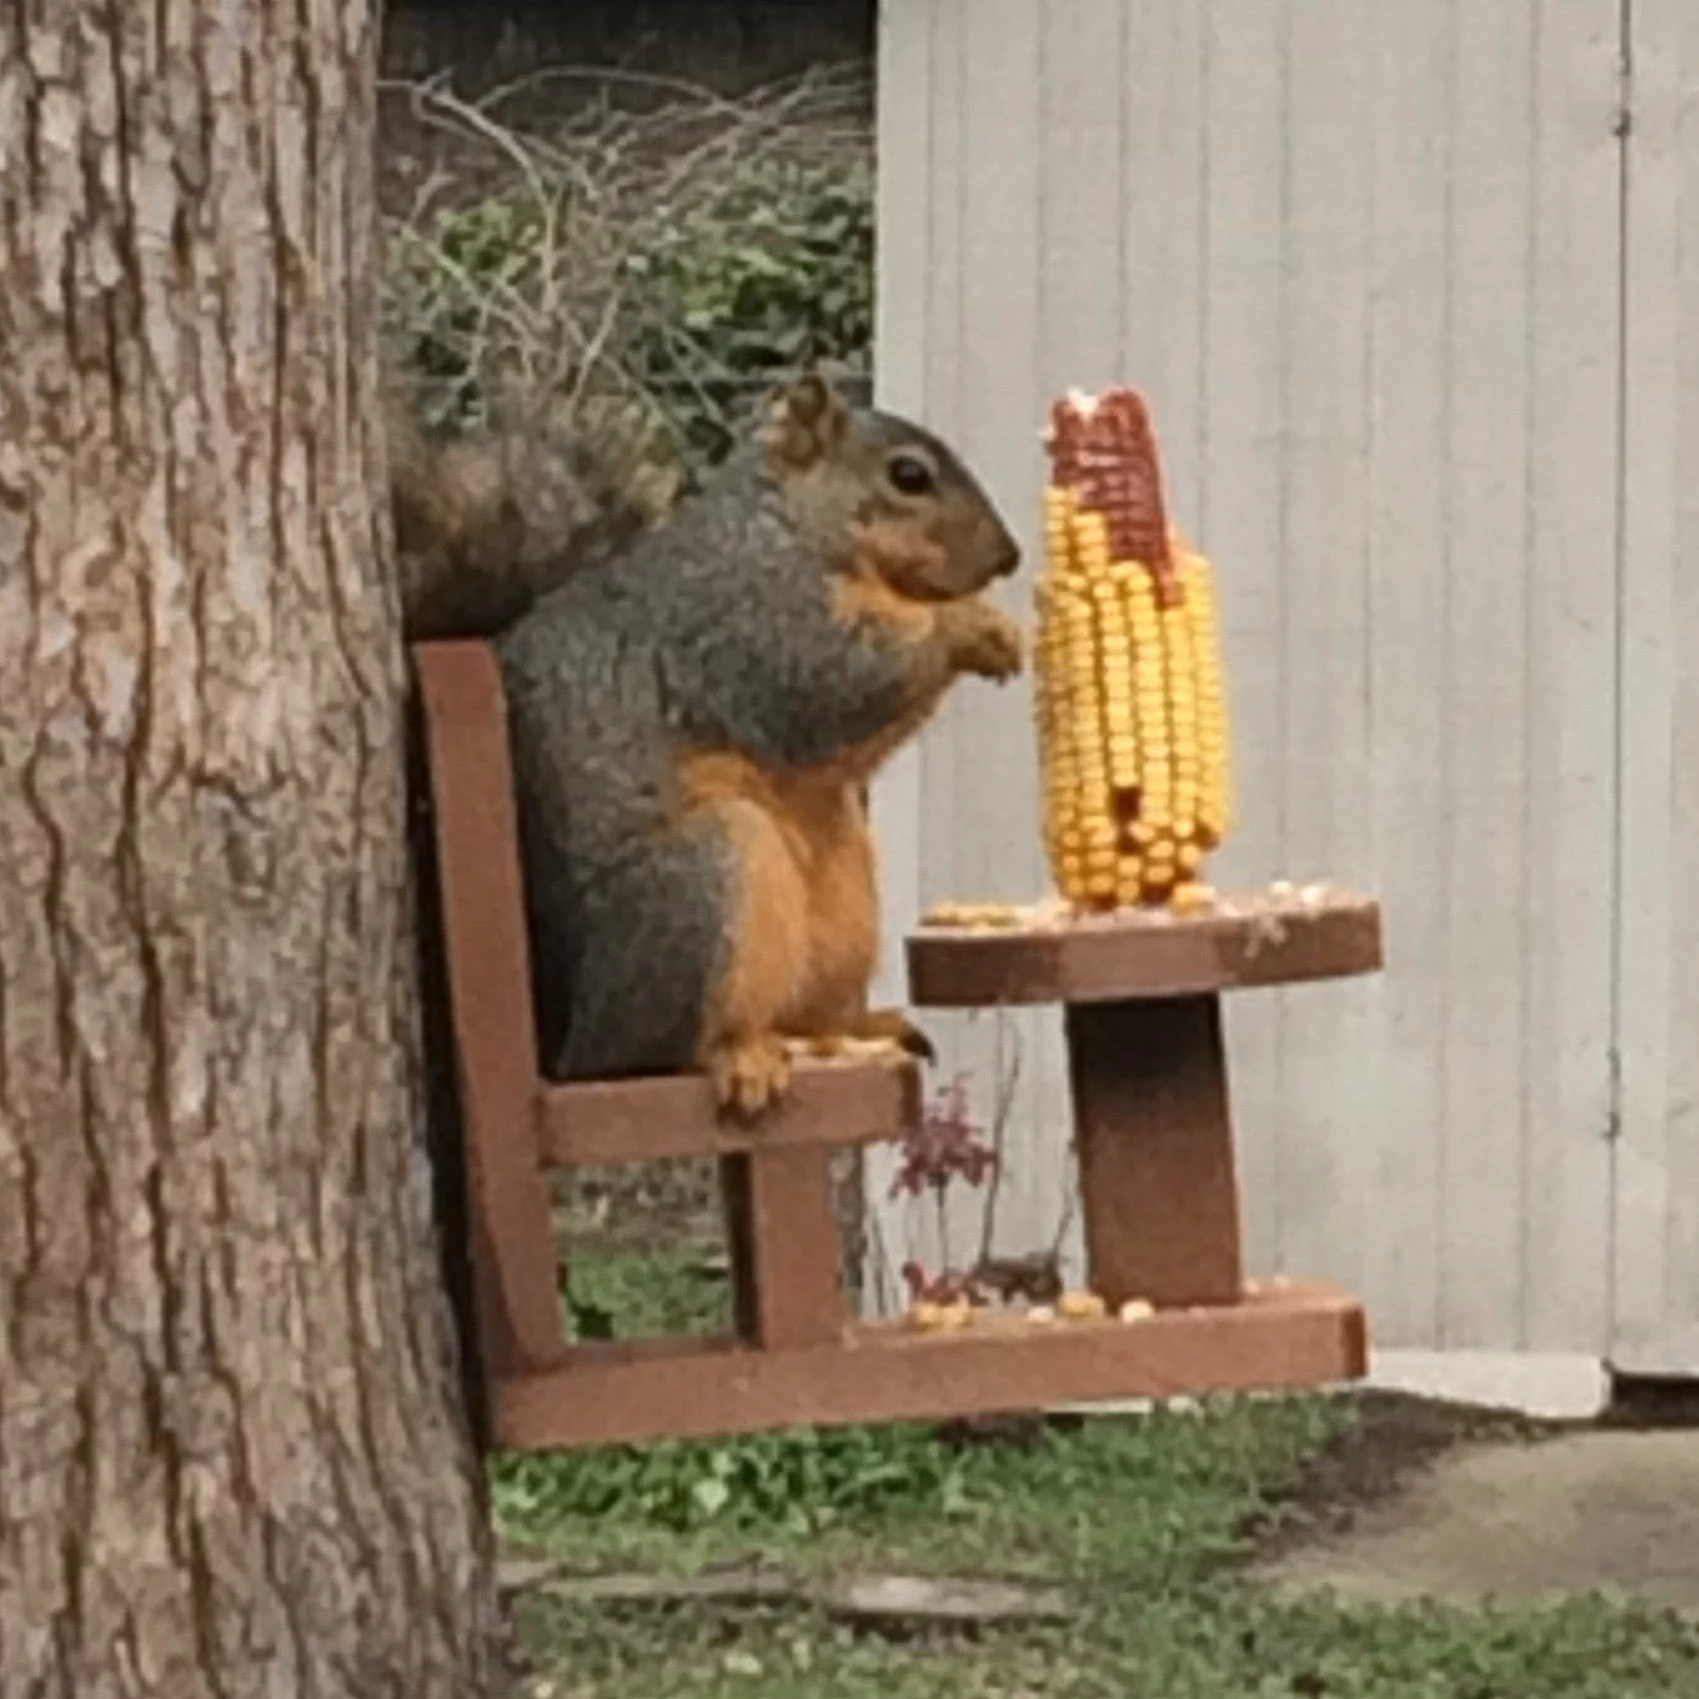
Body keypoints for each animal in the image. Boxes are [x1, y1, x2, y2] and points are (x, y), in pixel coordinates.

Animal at [482, 371, 1026, 1118]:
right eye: (908, 475)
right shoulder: (751, 621)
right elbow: (835, 683)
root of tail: (566, 1045)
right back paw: (738, 1056)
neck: (788, 526)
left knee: (807, 1009)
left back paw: (858, 1026)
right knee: (658, 1051)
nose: (1009, 557)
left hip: (844, 898)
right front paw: (967, 626)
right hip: (703, 878)